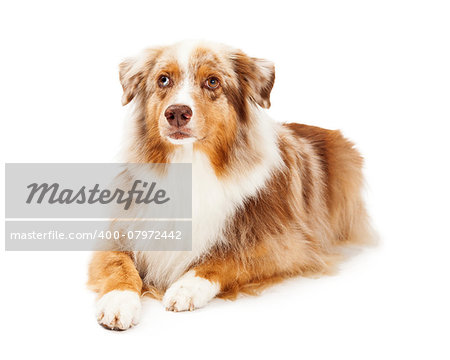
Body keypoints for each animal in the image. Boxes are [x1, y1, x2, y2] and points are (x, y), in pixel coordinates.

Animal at [88, 40, 372, 330]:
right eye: (163, 80)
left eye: (213, 81)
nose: (177, 112)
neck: (191, 164)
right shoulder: (119, 232)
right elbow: (117, 264)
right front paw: (118, 301)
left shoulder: (290, 246)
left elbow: (227, 260)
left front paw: (186, 288)